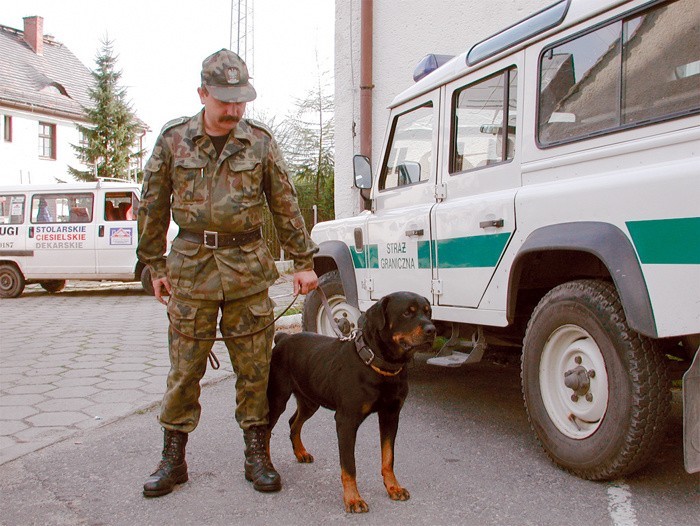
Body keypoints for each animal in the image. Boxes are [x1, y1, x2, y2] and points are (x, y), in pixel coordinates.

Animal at [266, 290, 432, 512]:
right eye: (407, 312)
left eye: (428, 312)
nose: (432, 329)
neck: (379, 365)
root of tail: (283, 337)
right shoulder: (346, 421)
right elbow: (349, 465)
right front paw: (353, 499)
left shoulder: (391, 415)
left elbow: (388, 457)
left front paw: (393, 487)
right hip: (277, 398)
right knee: (265, 430)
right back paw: (267, 465)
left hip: (310, 400)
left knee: (294, 422)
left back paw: (301, 452)